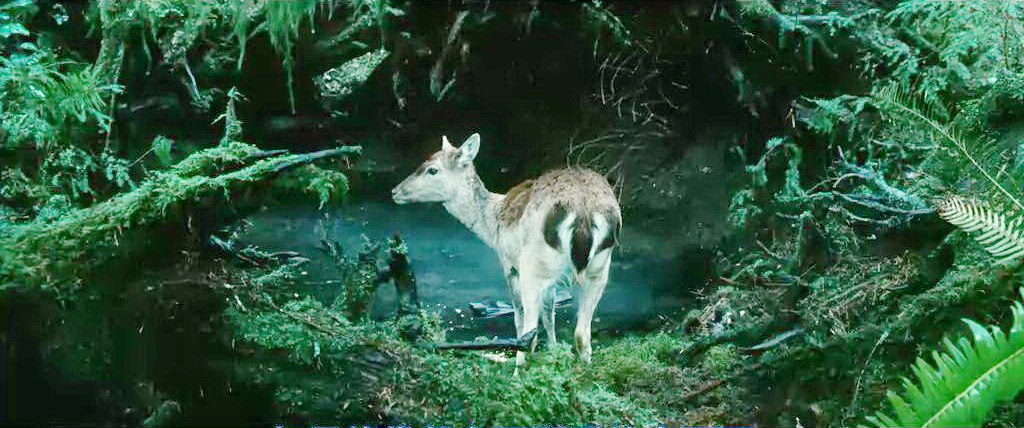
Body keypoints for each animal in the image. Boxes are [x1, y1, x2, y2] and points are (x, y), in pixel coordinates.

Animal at [391, 133, 621, 368]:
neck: (492, 221)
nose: (395, 191)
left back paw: (517, 370)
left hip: (534, 265)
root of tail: (582, 213)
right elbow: (550, 313)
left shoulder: (508, 263)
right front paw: (554, 351)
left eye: (432, 170)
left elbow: (520, 317)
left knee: (529, 334)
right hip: (599, 268)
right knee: (582, 333)